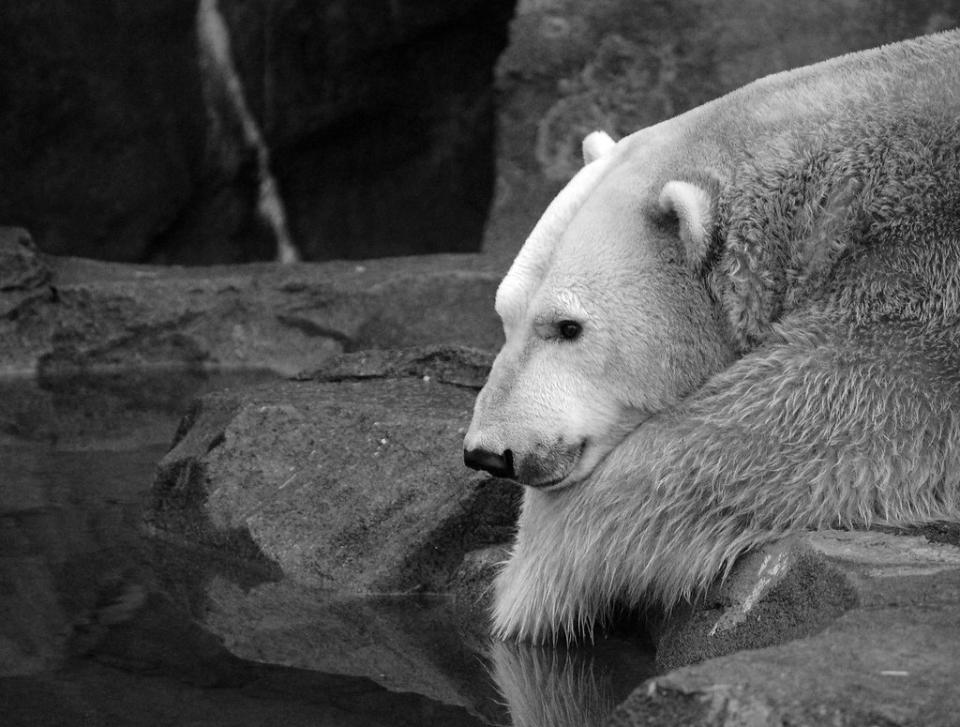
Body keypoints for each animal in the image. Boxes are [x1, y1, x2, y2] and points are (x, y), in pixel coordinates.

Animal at [464, 29, 960, 644]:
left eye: (567, 327)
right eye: (504, 315)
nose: (490, 454)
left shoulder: (927, 282)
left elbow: (829, 408)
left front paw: (533, 575)